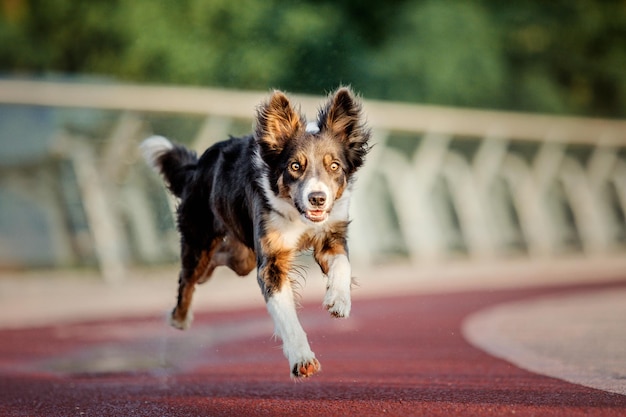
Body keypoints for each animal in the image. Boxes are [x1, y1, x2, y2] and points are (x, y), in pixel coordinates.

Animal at [139, 86, 368, 376]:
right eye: (295, 166)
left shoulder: (331, 233)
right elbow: (286, 315)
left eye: (334, 166)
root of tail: (198, 167)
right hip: (200, 241)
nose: (317, 199)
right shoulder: (270, 261)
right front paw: (302, 358)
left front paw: (338, 300)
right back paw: (179, 318)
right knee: (187, 279)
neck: (299, 215)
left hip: (242, 255)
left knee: (221, 259)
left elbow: (342, 264)